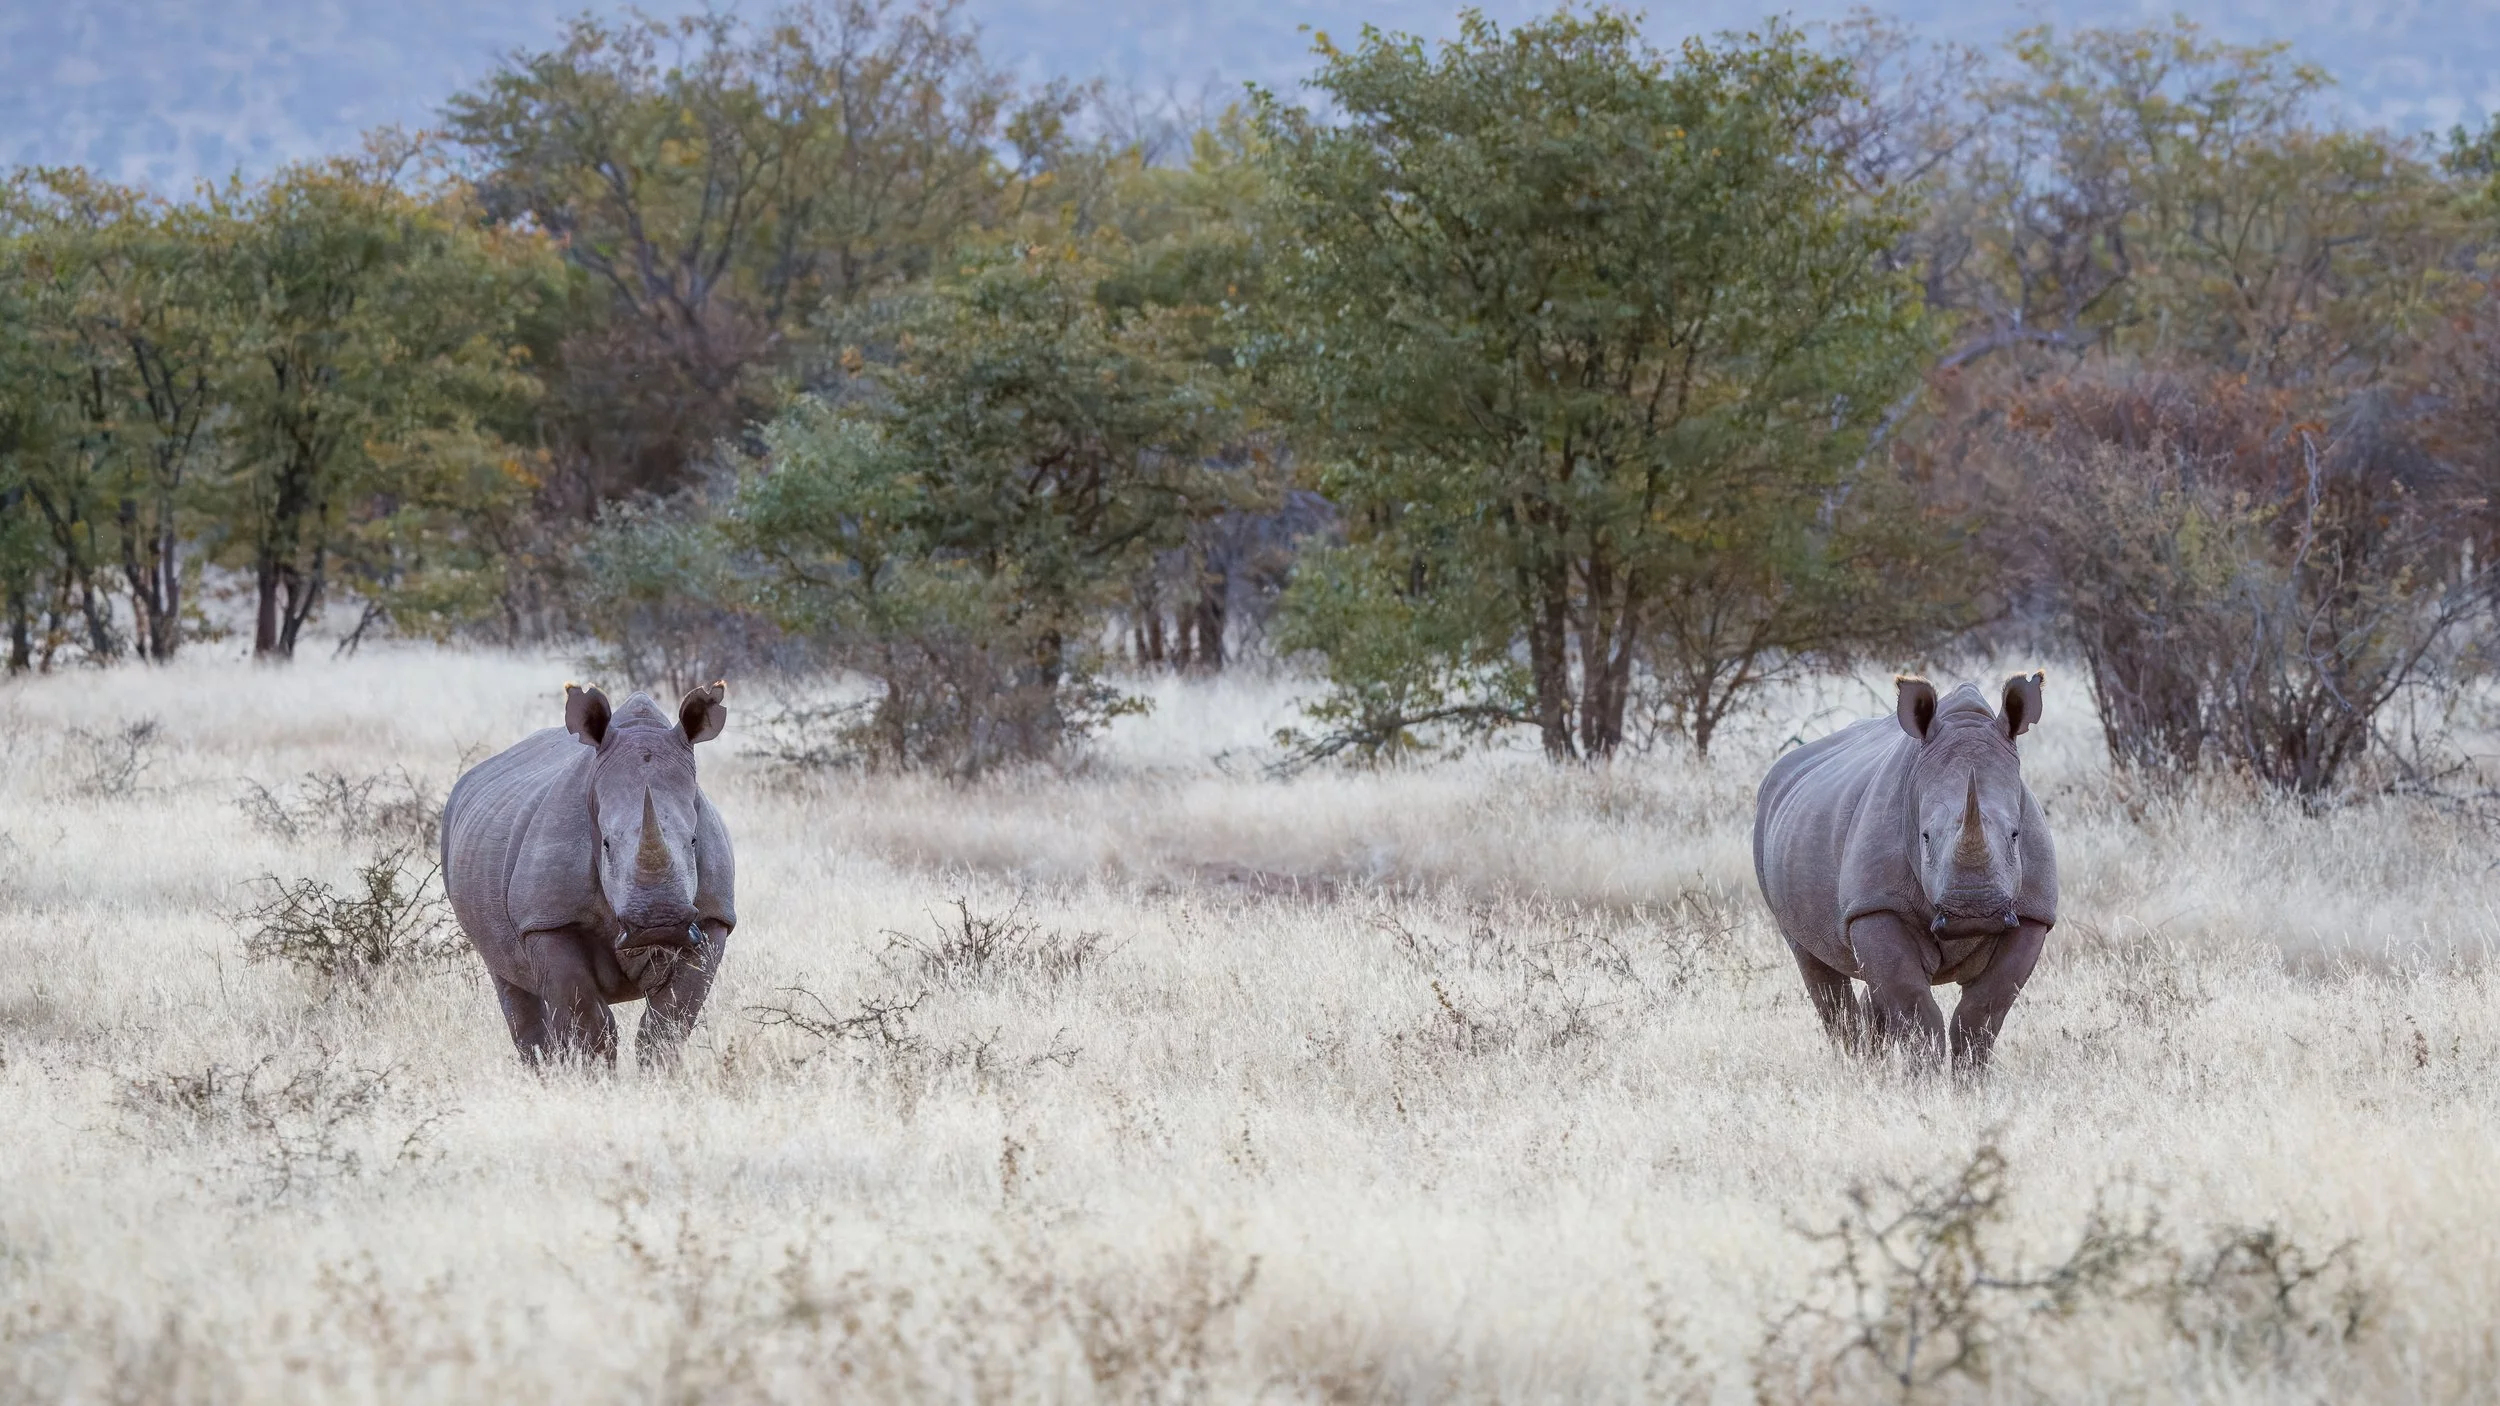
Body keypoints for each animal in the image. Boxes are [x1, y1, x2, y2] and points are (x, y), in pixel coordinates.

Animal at [442, 682, 736, 1067]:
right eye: (606, 843)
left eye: (694, 840)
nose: (659, 924)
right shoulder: (548, 920)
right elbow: (588, 1023)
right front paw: (593, 1076)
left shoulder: (714, 918)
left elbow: (668, 1023)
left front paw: (659, 1075)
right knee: (510, 982)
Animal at [1751, 674, 2056, 1069]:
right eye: (1924, 836)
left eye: (2016, 835)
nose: (1974, 911)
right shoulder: (1876, 904)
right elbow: (1915, 1011)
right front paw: (1924, 1080)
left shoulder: (2033, 913)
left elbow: (1982, 1011)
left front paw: (1968, 1080)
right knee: (1818, 971)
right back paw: (1855, 1068)